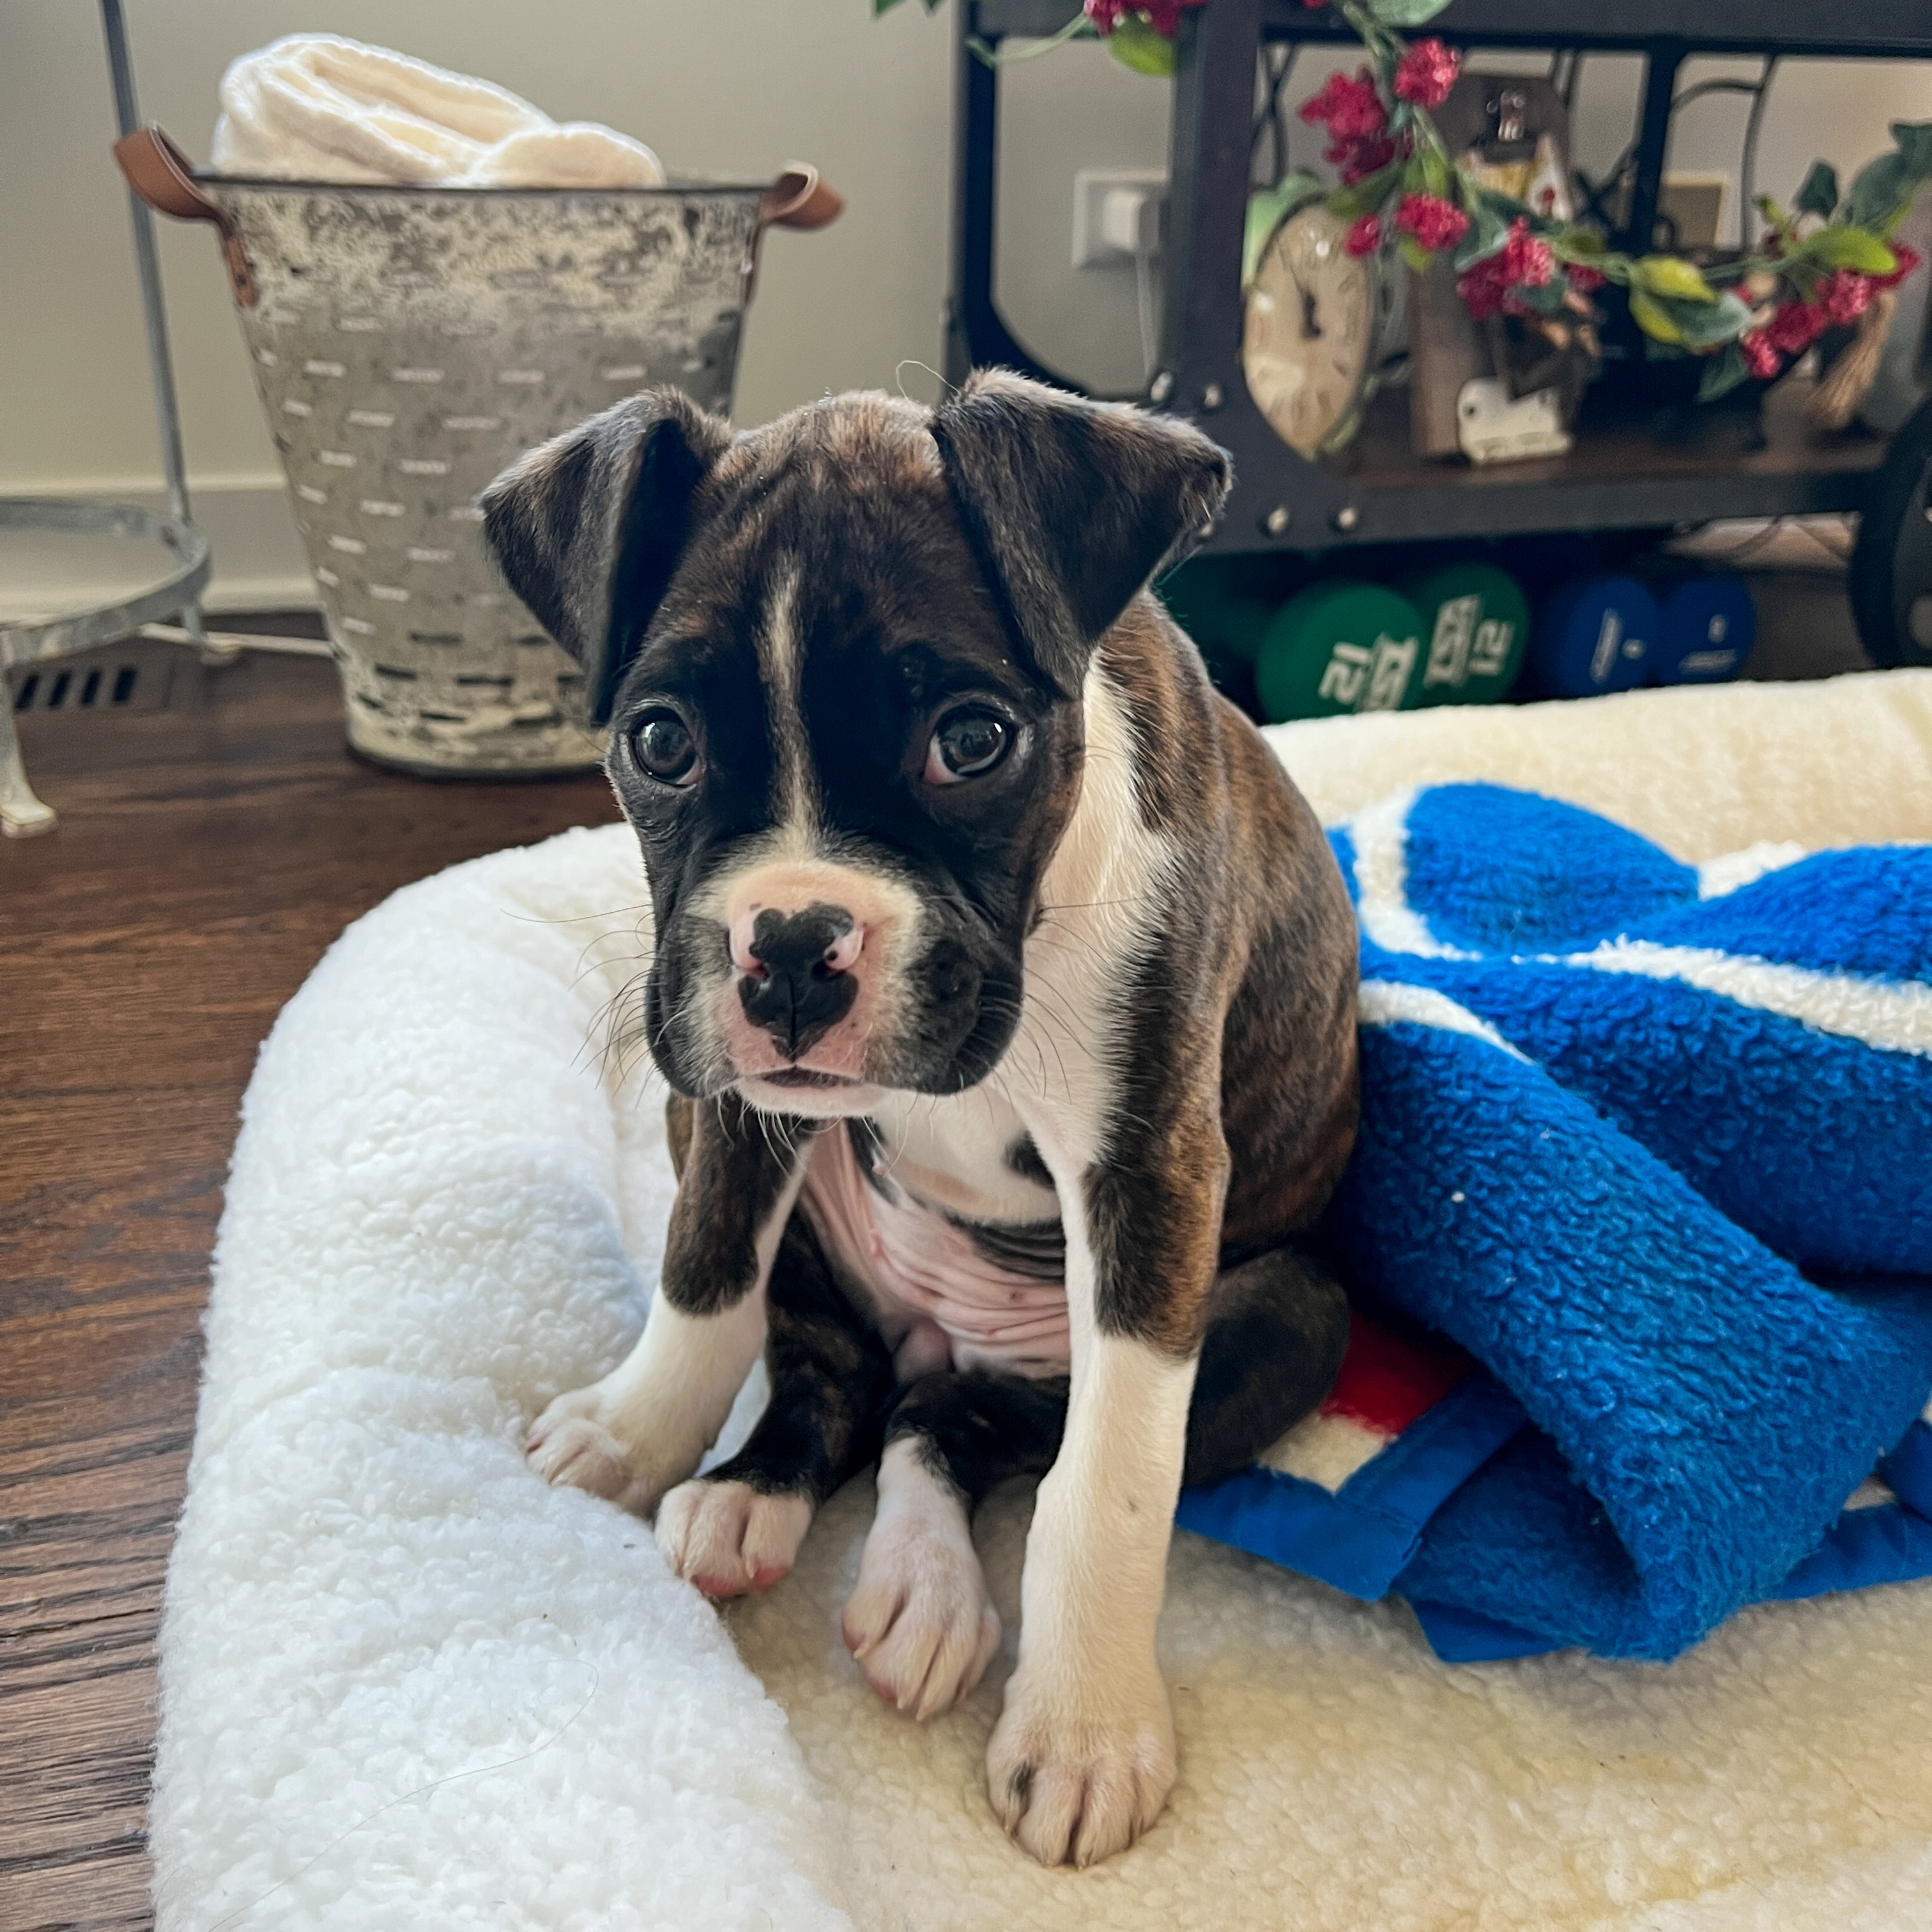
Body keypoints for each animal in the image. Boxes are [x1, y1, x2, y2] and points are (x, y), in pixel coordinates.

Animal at [483, 369, 1360, 1862]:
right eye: (658, 741)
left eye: (972, 739)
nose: (789, 946)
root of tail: (936, 1327)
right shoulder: (734, 1112)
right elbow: (704, 1280)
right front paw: (637, 1430)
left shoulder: (1152, 1172)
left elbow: (1108, 1483)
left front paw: (1083, 1730)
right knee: (842, 1376)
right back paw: (756, 1496)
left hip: (1284, 1313)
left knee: (962, 1420)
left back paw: (924, 1586)